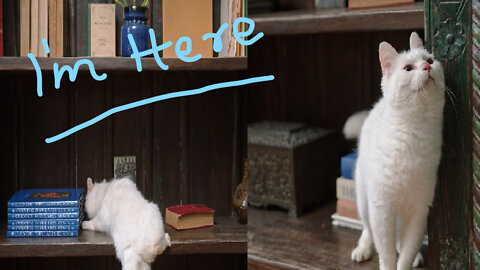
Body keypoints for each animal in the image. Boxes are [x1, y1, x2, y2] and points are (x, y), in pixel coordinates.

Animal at [344, 32, 446, 270]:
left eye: (429, 60)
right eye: (408, 68)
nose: (427, 68)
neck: (416, 132)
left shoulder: (419, 210)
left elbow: (406, 253)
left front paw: (408, 259)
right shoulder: (381, 209)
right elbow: (387, 254)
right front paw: (386, 260)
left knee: (399, 237)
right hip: (364, 200)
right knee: (367, 230)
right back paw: (362, 249)